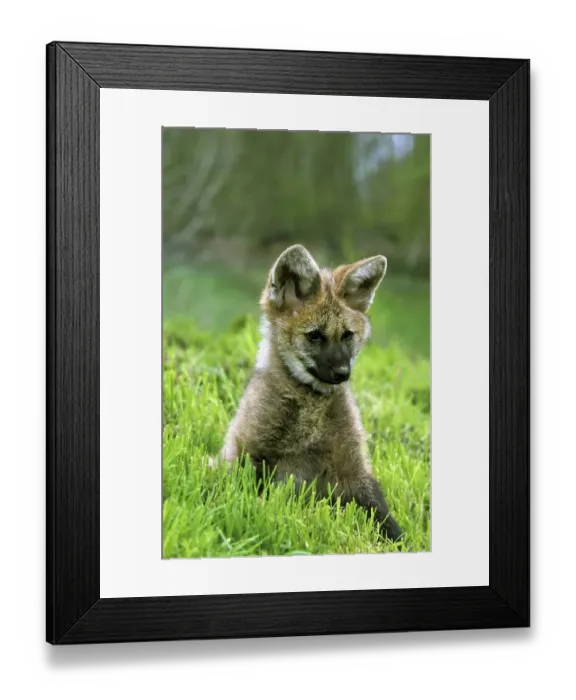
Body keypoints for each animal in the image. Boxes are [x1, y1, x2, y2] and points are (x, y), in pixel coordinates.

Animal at [214, 244, 404, 544]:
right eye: (314, 335)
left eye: (347, 335)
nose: (343, 373)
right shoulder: (251, 454)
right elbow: (254, 498)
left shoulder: (353, 470)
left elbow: (384, 518)